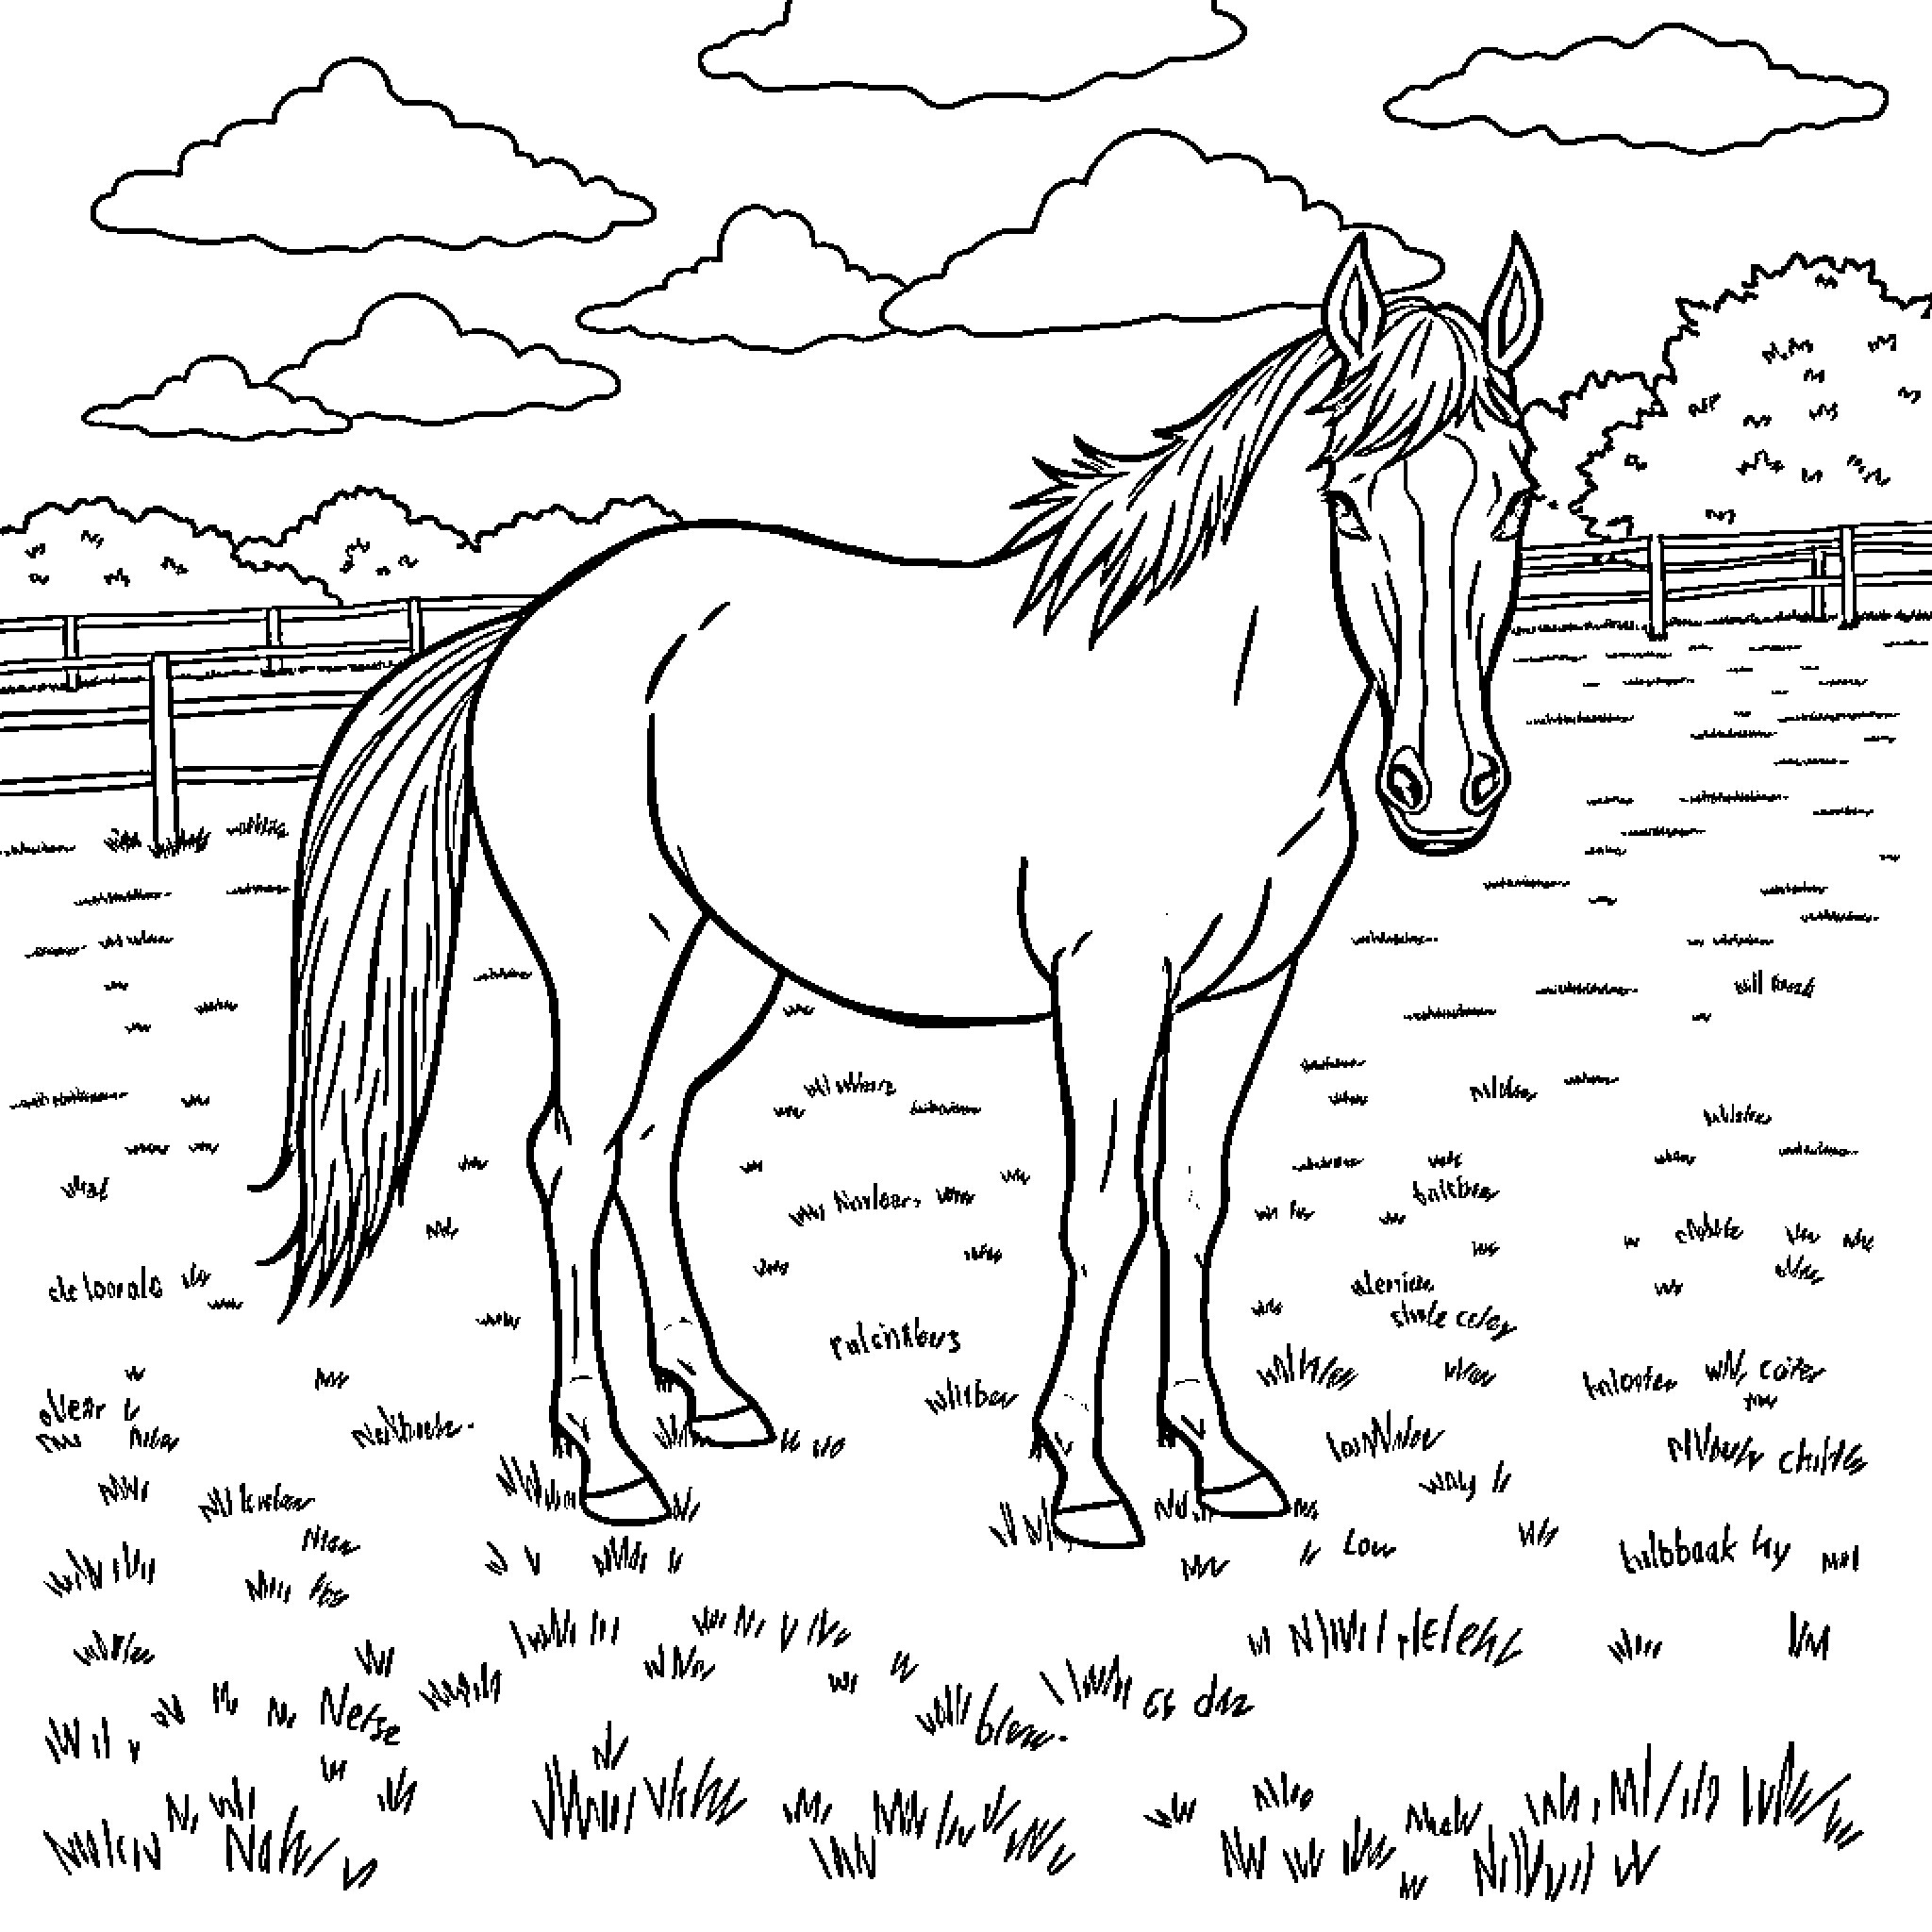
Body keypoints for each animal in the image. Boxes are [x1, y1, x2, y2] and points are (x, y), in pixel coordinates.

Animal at [267, 232, 1542, 1550]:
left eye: (1513, 499)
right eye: (1345, 502)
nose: (1444, 788)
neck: (1203, 706)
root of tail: (529, 624)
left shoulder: (1239, 994)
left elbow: (1192, 1199)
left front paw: (1222, 1459)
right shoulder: (1106, 987)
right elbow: (1101, 1213)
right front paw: (1085, 1477)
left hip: (721, 963)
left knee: (650, 1136)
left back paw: (712, 1395)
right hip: (611, 954)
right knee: (573, 1156)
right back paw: (610, 1461)